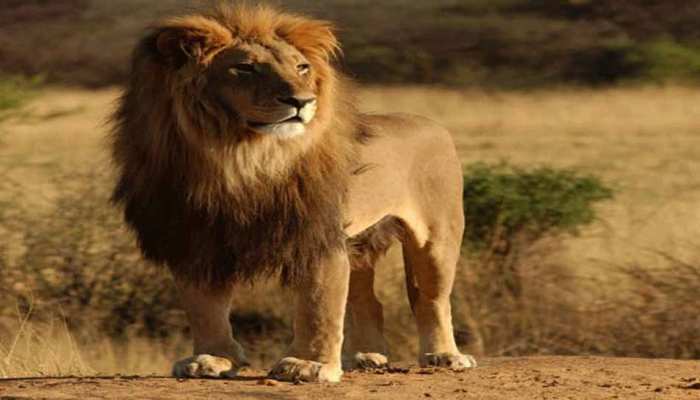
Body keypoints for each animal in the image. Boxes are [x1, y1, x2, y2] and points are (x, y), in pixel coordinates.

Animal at [110, 3, 476, 383]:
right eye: (245, 68)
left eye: (301, 67)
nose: (302, 101)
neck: (239, 158)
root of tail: (431, 123)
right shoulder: (195, 238)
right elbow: (204, 307)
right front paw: (211, 359)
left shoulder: (315, 235)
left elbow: (319, 304)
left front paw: (308, 364)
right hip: (359, 242)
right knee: (367, 300)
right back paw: (364, 356)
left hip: (437, 236)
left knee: (431, 299)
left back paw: (444, 356)